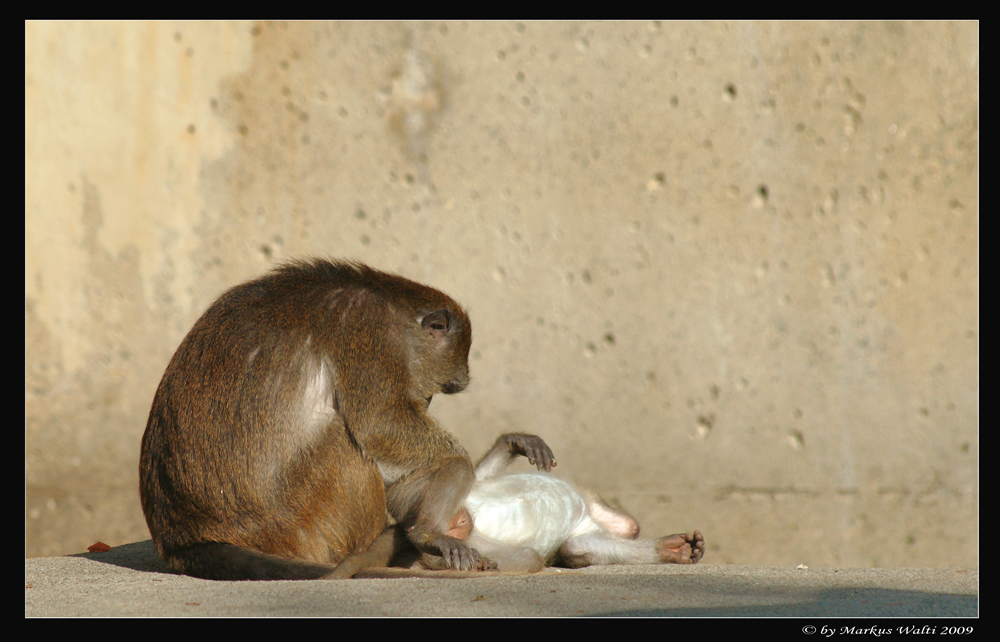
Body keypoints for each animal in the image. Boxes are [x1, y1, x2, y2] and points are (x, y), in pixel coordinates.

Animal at [141, 258, 548, 576]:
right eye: (435, 391)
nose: (427, 402)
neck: (388, 302)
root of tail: (181, 541)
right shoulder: (370, 334)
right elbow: (380, 424)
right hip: (303, 523)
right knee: (342, 436)